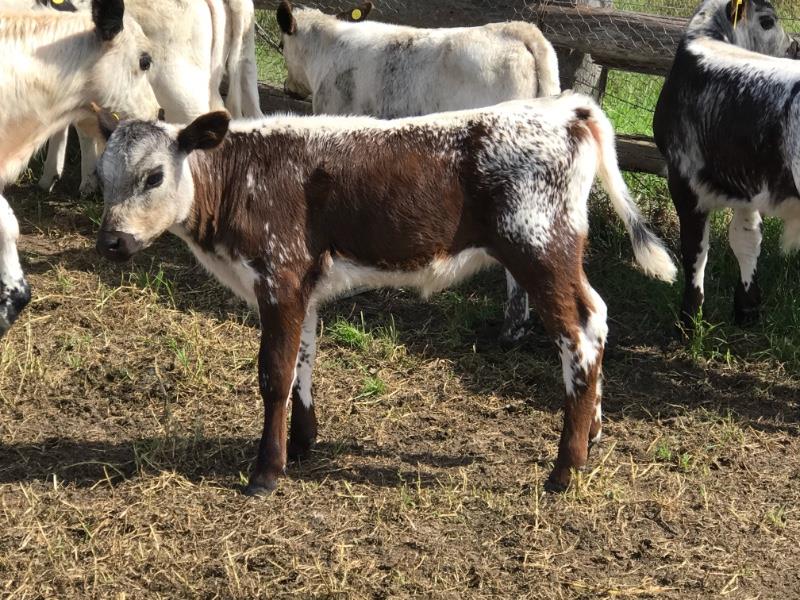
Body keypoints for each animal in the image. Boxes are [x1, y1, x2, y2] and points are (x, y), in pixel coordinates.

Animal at [93, 94, 676, 495]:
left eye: (154, 176)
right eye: (102, 177)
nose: (111, 242)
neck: (243, 178)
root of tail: (565, 108)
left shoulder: (279, 277)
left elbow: (274, 373)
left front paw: (266, 471)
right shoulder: (304, 287)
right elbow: (303, 361)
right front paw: (302, 445)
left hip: (539, 248)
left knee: (576, 333)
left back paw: (564, 468)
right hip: (557, 253)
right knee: (597, 317)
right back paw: (594, 432)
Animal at [653, 0, 800, 329]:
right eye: (767, 21)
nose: (794, 46)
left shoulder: (683, 178)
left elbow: (694, 248)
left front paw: (689, 318)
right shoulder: (746, 188)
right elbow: (746, 239)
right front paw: (746, 308)